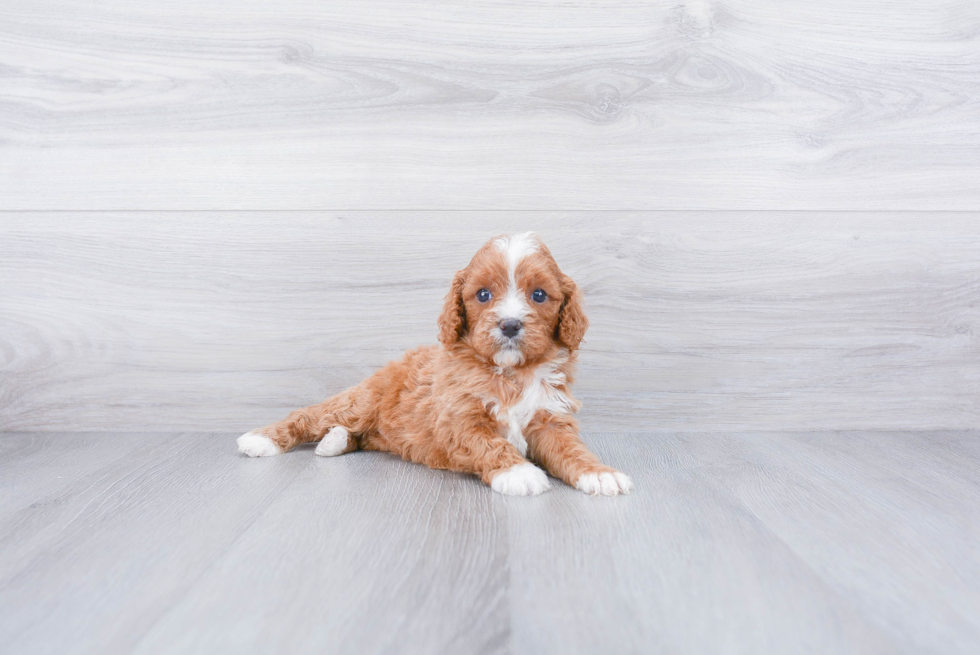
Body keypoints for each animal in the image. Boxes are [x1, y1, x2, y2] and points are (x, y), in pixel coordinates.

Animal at [241, 233, 632, 494]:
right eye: (483, 294)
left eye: (539, 295)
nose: (509, 324)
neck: (510, 373)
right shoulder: (458, 420)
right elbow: (489, 443)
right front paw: (518, 472)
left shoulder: (550, 417)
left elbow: (571, 448)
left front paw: (598, 472)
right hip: (360, 401)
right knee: (311, 416)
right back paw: (262, 439)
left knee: (359, 437)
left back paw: (334, 442)